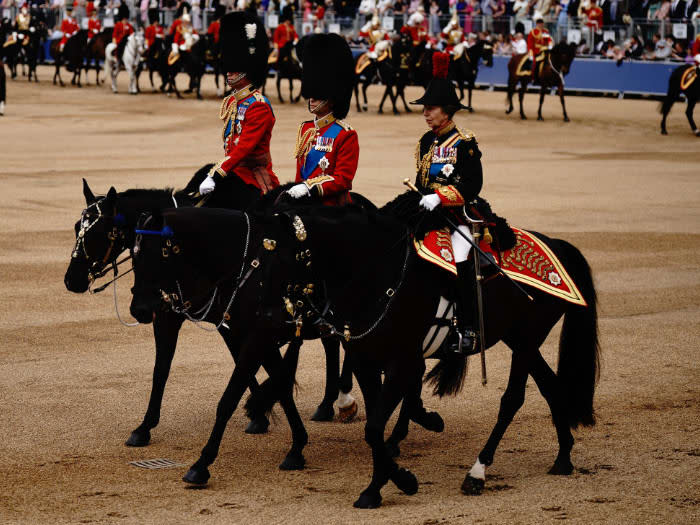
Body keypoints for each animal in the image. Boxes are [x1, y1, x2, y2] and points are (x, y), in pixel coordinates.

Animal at [138, 194, 600, 506]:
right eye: (135, 251)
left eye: (157, 253)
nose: (141, 308)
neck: (376, 273)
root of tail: (555, 244)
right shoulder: (359, 353)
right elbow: (364, 417)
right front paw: (389, 478)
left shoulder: (395, 359)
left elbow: (368, 421)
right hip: (522, 340)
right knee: (551, 387)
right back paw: (562, 456)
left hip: (523, 339)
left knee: (513, 399)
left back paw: (478, 470)